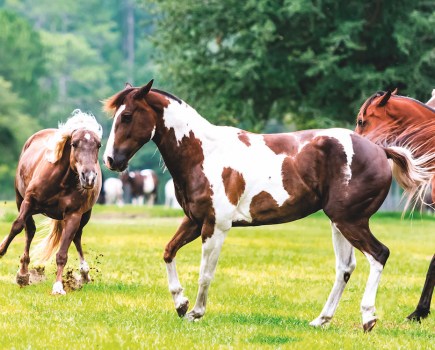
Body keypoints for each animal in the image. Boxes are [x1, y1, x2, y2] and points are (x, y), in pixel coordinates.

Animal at [0, 110, 103, 296]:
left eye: (98, 145)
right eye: (74, 144)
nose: (89, 178)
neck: (62, 181)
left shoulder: (73, 215)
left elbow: (62, 254)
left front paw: (58, 286)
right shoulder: (28, 202)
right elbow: (17, 226)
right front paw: (1, 251)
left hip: (85, 215)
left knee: (77, 237)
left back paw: (84, 274)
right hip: (21, 200)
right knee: (29, 230)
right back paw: (23, 274)